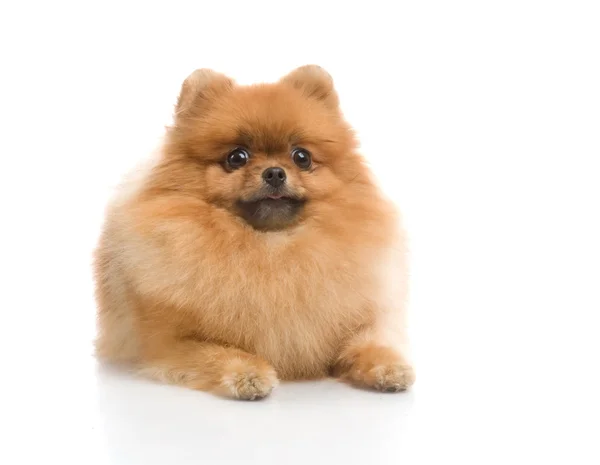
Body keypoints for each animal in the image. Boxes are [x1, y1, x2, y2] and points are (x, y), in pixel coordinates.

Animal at [94, 66, 414, 398]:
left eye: (302, 157)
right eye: (237, 157)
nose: (274, 172)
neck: (270, 247)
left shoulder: (353, 319)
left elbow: (369, 341)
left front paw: (389, 367)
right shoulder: (168, 342)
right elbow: (216, 352)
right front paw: (248, 373)